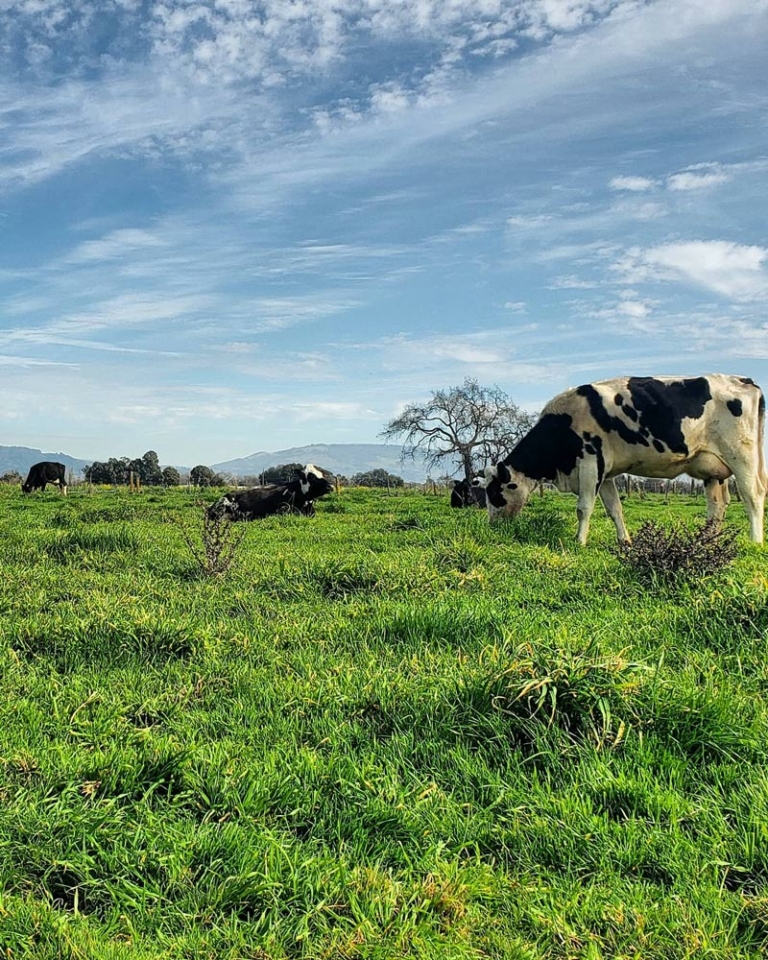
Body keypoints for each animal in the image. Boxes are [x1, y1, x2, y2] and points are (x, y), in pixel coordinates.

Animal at [481, 375, 767, 545]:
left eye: (495, 493)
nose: (492, 525)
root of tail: (743, 380)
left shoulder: (590, 463)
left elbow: (584, 507)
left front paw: (579, 541)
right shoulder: (605, 473)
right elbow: (614, 509)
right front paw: (624, 541)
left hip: (741, 455)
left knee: (752, 495)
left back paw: (755, 541)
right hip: (712, 468)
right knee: (716, 507)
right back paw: (707, 541)